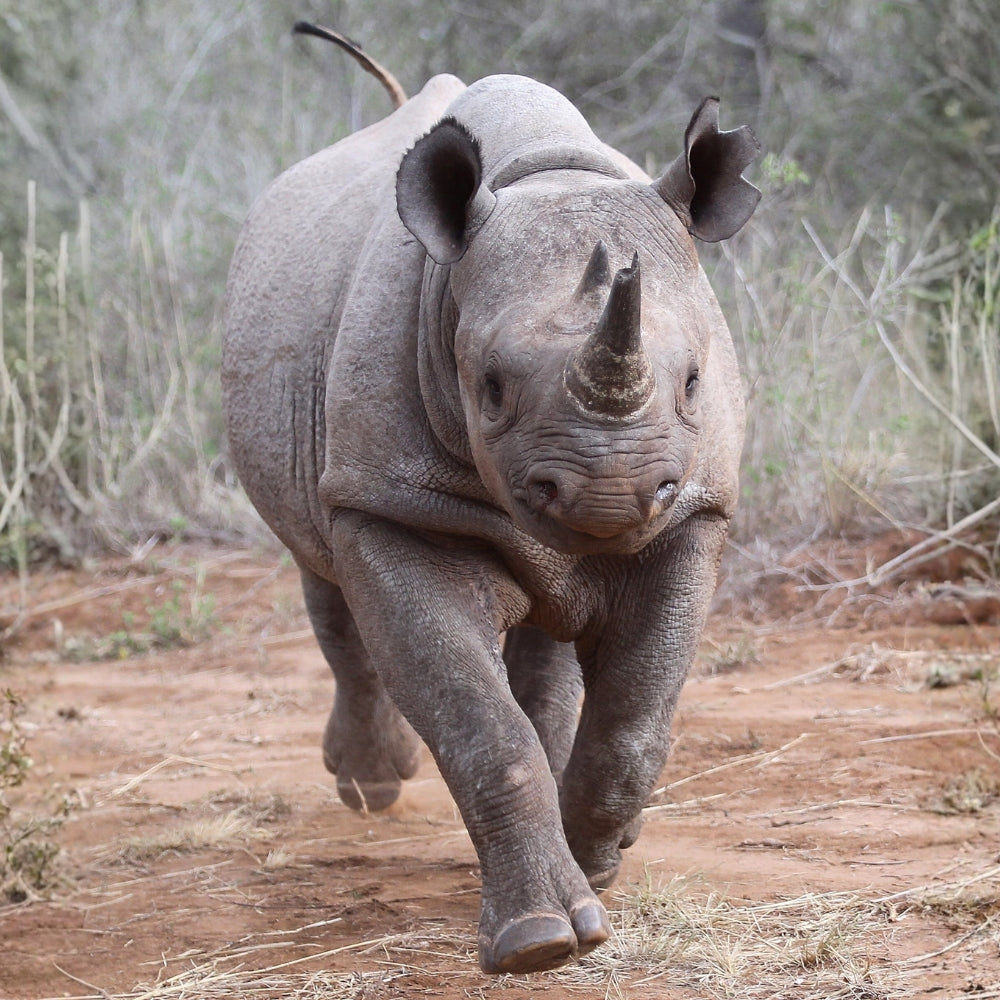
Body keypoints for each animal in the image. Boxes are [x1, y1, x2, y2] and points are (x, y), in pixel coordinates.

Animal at [223, 49, 759, 974]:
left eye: (694, 382)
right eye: (492, 388)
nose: (609, 493)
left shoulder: (693, 510)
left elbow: (634, 718)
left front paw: (597, 863)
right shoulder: (389, 499)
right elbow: (477, 721)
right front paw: (539, 940)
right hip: (322, 437)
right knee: (319, 563)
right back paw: (370, 787)